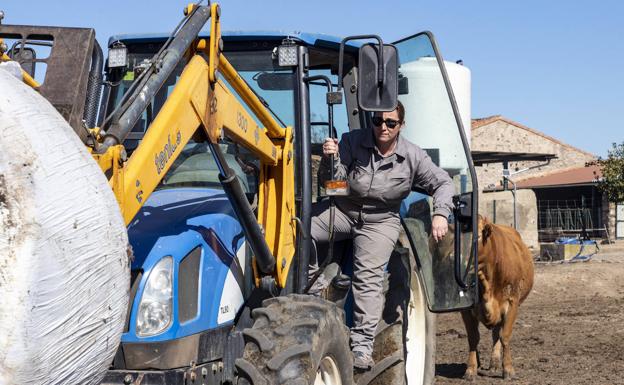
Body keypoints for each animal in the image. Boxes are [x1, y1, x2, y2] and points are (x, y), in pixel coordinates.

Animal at [460, 214, 532, 380]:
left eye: (478, 236)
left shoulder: (512, 302)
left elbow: (504, 336)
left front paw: (508, 369)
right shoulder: (465, 309)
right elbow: (473, 337)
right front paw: (471, 369)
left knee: (496, 335)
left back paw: (494, 363)